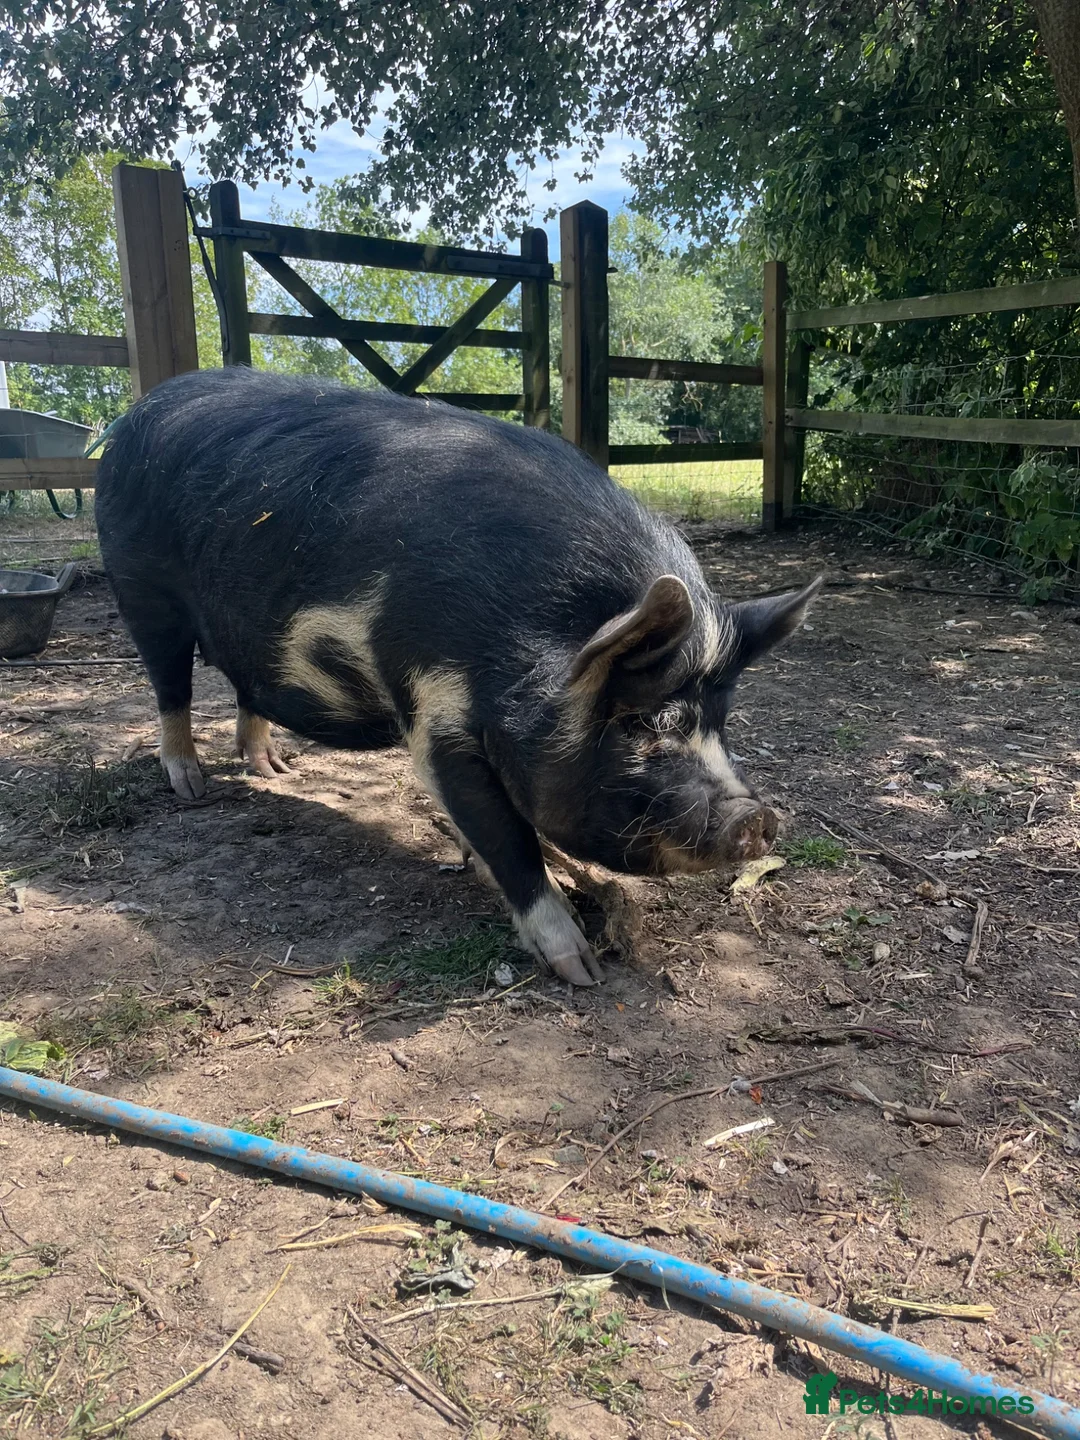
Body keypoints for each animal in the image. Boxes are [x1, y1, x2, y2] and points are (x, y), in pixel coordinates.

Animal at [95, 368, 820, 986]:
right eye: (641, 721)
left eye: (720, 722)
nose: (758, 816)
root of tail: (133, 416)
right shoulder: (433, 705)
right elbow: (505, 834)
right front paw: (580, 968)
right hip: (142, 591)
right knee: (170, 688)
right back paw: (189, 786)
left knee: (246, 688)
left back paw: (273, 771)